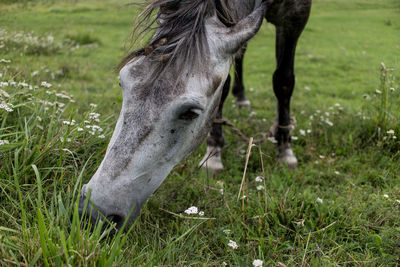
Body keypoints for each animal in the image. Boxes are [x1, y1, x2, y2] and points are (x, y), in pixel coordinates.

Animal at [78, 0, 312, 230]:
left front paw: (285, 149)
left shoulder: (296, 16)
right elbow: (225, 83)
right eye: (122, 83)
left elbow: (283, 81)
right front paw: (214, 152)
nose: (94, 213)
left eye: (190, 112)